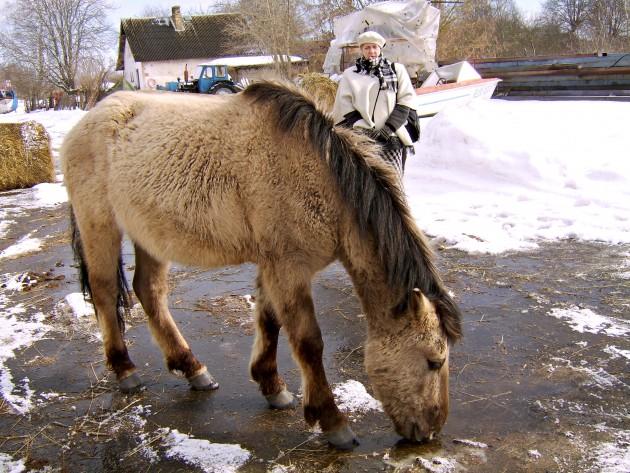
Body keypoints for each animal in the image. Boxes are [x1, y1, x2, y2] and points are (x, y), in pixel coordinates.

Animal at [60, 81, 464, 446]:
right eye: (434, 360)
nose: (431, 432)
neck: (318, 176)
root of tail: (88, 120)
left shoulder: (276, 268)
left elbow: (270, 322)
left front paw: (271, 385)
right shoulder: (288, 270)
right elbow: (308, 343)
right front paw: (331, 420)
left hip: (152, 236)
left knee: (149, 291)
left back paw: (192, 368)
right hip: (100, 226)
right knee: (104, 292)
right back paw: (124, 369)